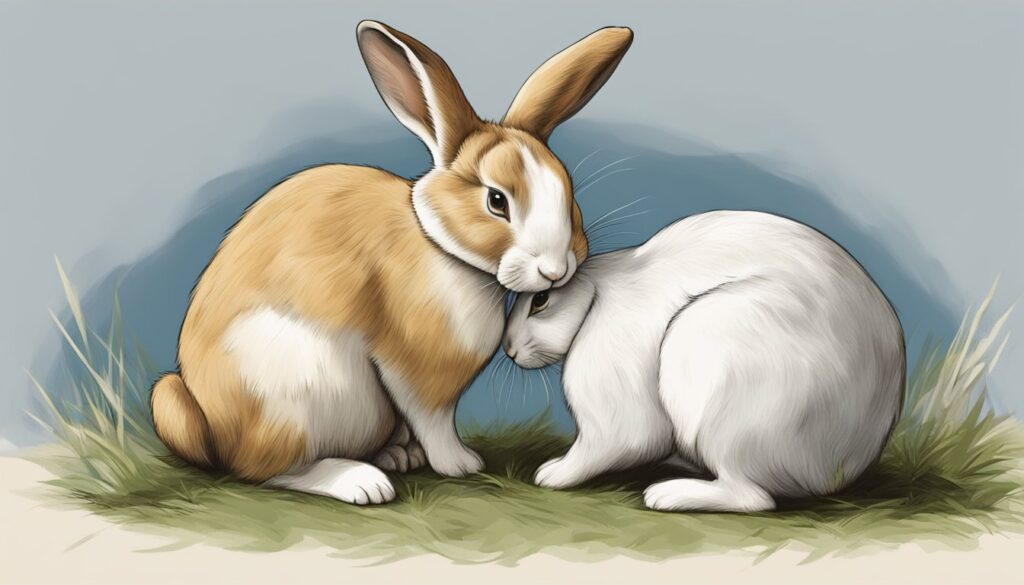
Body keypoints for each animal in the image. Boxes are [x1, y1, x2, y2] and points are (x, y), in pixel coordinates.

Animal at [149, 21, 635, 505]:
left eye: (567, 191)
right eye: (497, 201)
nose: (556, 269)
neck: (441, 245)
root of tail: (209, 427)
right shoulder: (418, 370)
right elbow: (434, 419)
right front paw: (461, 464)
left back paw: (395, 458)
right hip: (292, 399)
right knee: (268, 470)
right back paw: (361, 483)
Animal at [502, 210, 906, 512]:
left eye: (540, 300)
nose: (508, 348)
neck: (594, 294)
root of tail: (839, 467)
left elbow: (614, 442)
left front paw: (552, 474)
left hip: (725, 388)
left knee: (753, 497)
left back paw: (666, 495)